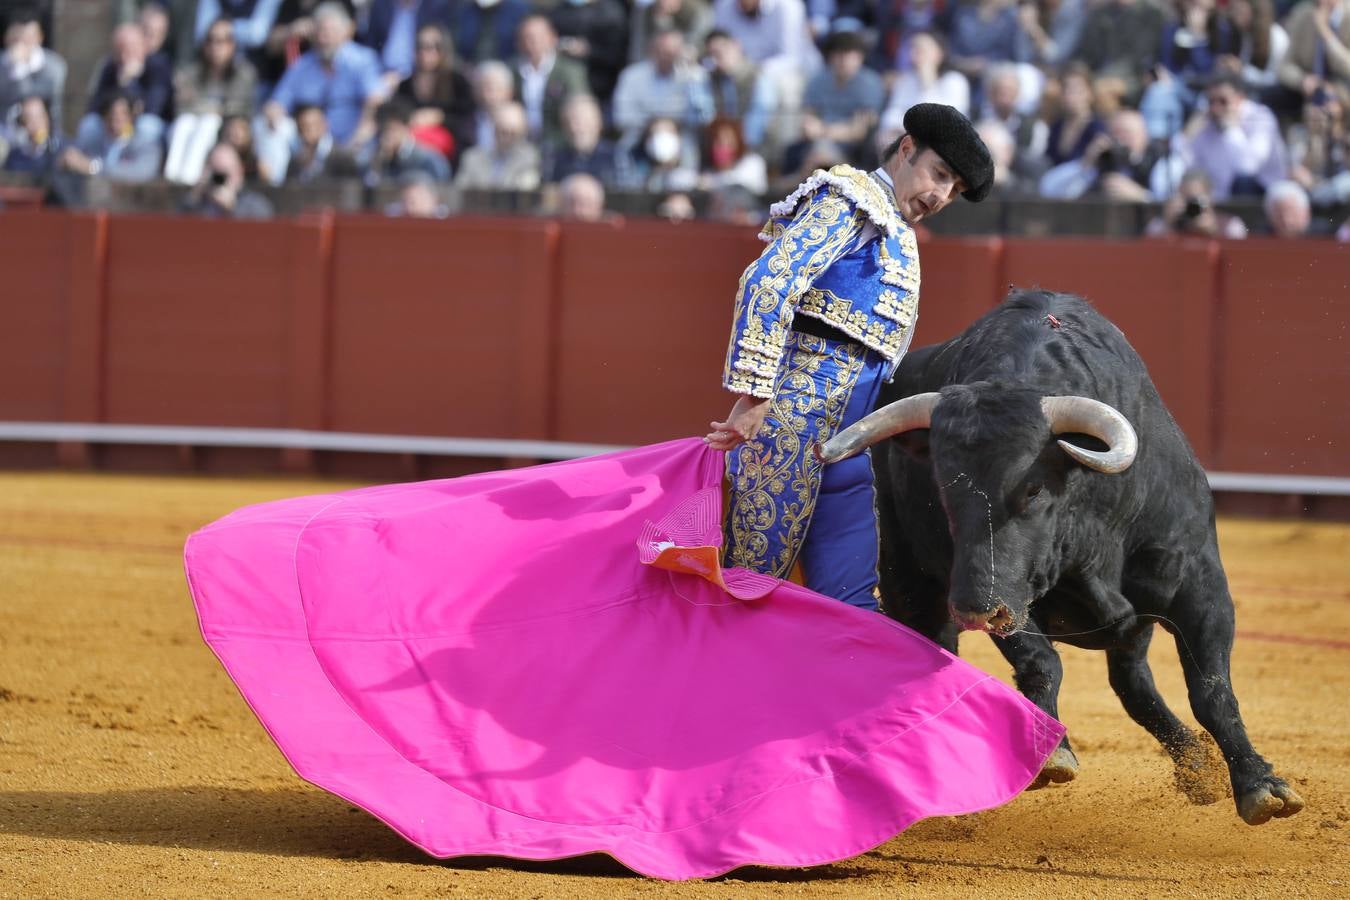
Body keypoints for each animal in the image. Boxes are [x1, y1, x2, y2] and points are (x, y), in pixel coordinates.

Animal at [815, 292, 1301, 825]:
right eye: (944, 492)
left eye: (1032, 489)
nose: (972, 609)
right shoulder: (1007, 596)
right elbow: (1040, 661)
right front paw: (1054, 754)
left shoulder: (1201, 588)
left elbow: (1212, 689)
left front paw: (1261, 785)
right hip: (911, 586)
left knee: (1132, 683)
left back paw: (1197, 767)